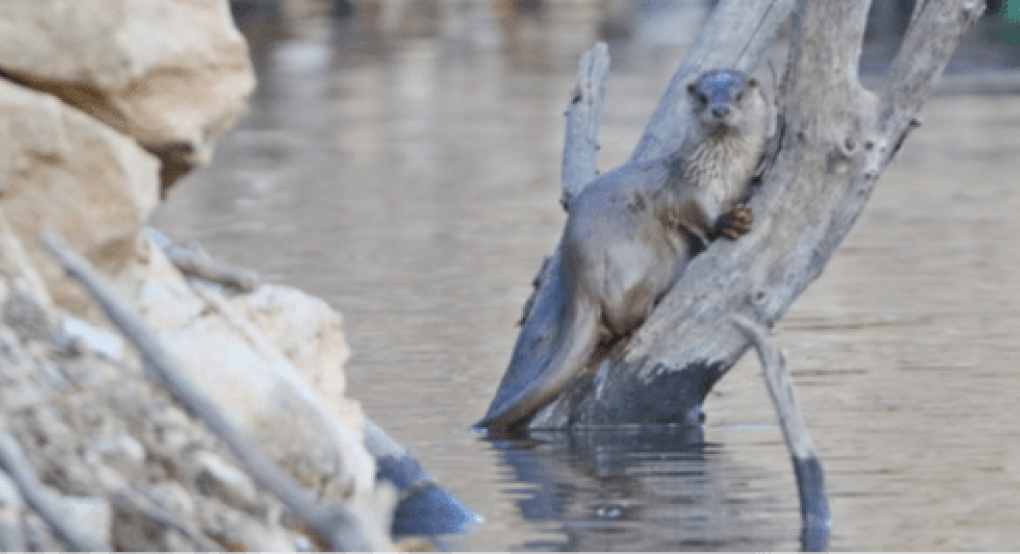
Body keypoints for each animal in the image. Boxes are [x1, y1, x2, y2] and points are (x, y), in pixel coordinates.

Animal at [473, 69, 767, 432]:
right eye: (703, 97)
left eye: (738, 95)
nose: (720, 109)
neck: (725, 172)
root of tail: (581, 282)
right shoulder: (685, 187)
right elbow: (697, 212)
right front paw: (728, 221)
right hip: (635, 263)